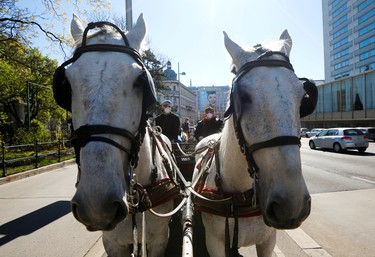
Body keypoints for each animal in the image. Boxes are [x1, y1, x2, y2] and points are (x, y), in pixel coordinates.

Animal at [192, 30, 316, 256]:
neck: (238, 196)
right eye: (242, 96)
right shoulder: (214, 242)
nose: (291, 205)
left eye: (303, 97)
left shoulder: (268, 240)